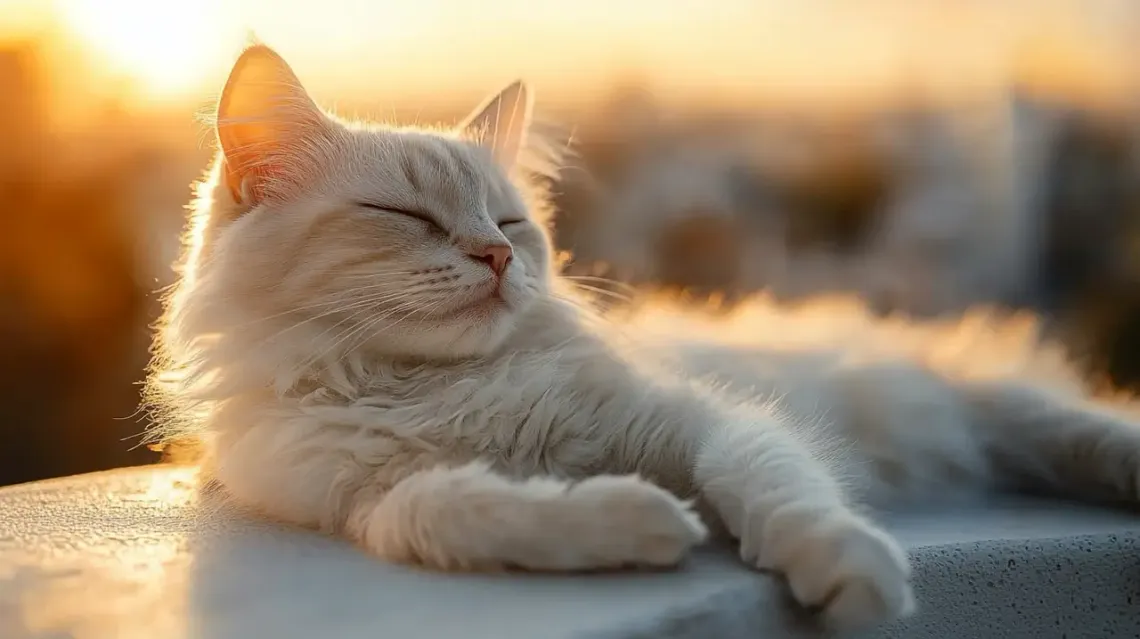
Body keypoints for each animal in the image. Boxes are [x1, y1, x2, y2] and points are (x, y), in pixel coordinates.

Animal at [149, 46, 1140, 633]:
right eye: (408, 217)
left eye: (508, 220)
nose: (497, 255)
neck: (439, 386)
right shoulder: (362, 501)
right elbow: (456, 510)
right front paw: (637, 523)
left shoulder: (702, 419)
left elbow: (778, 492)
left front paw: (845, 570)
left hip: (1001, 405)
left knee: (1081, 431)